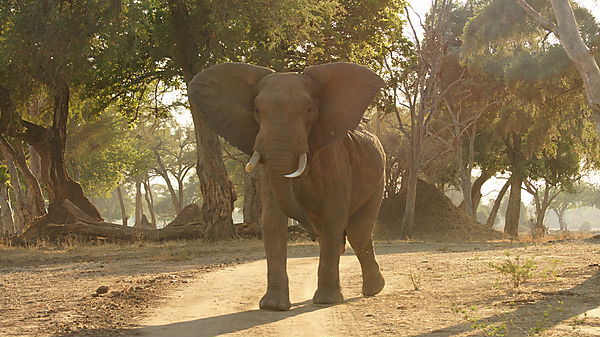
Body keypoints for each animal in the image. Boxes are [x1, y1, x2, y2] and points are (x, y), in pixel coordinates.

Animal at [189, 62, 390, 310]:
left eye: (309, 110)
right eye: (257, 110)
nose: (308, 234)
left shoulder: (334, 159)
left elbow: (333, 217)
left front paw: (326, 301)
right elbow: (272, 221)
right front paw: (273, 306)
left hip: (379, 178)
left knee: (357, 233)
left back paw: (374, 289)